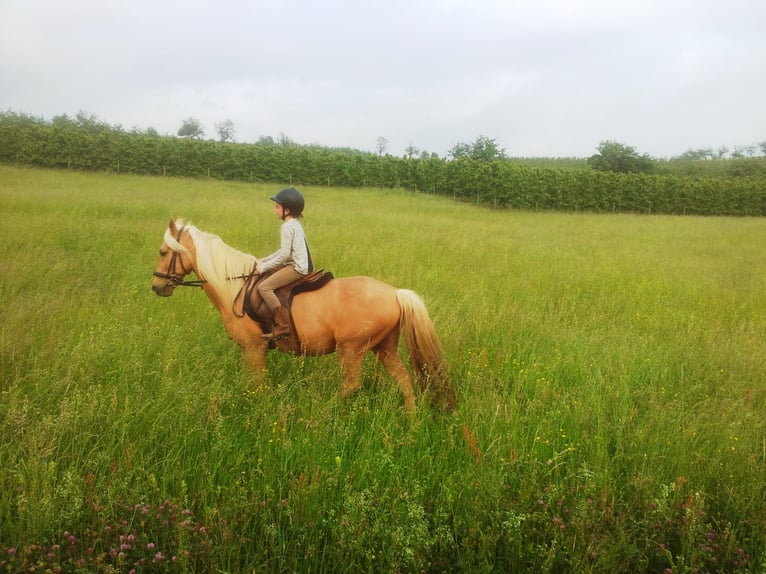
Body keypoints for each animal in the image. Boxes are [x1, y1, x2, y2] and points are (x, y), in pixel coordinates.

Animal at [153, 217, 460, 414]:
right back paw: (411, 423)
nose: (157, 287)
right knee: (405, 381)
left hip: (351, 349)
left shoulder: (253, 348)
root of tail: (395, 293)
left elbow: (255, 384)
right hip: (384, 348)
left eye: (163, 251)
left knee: (351, 385)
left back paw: (320, 414)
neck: (236, 288)